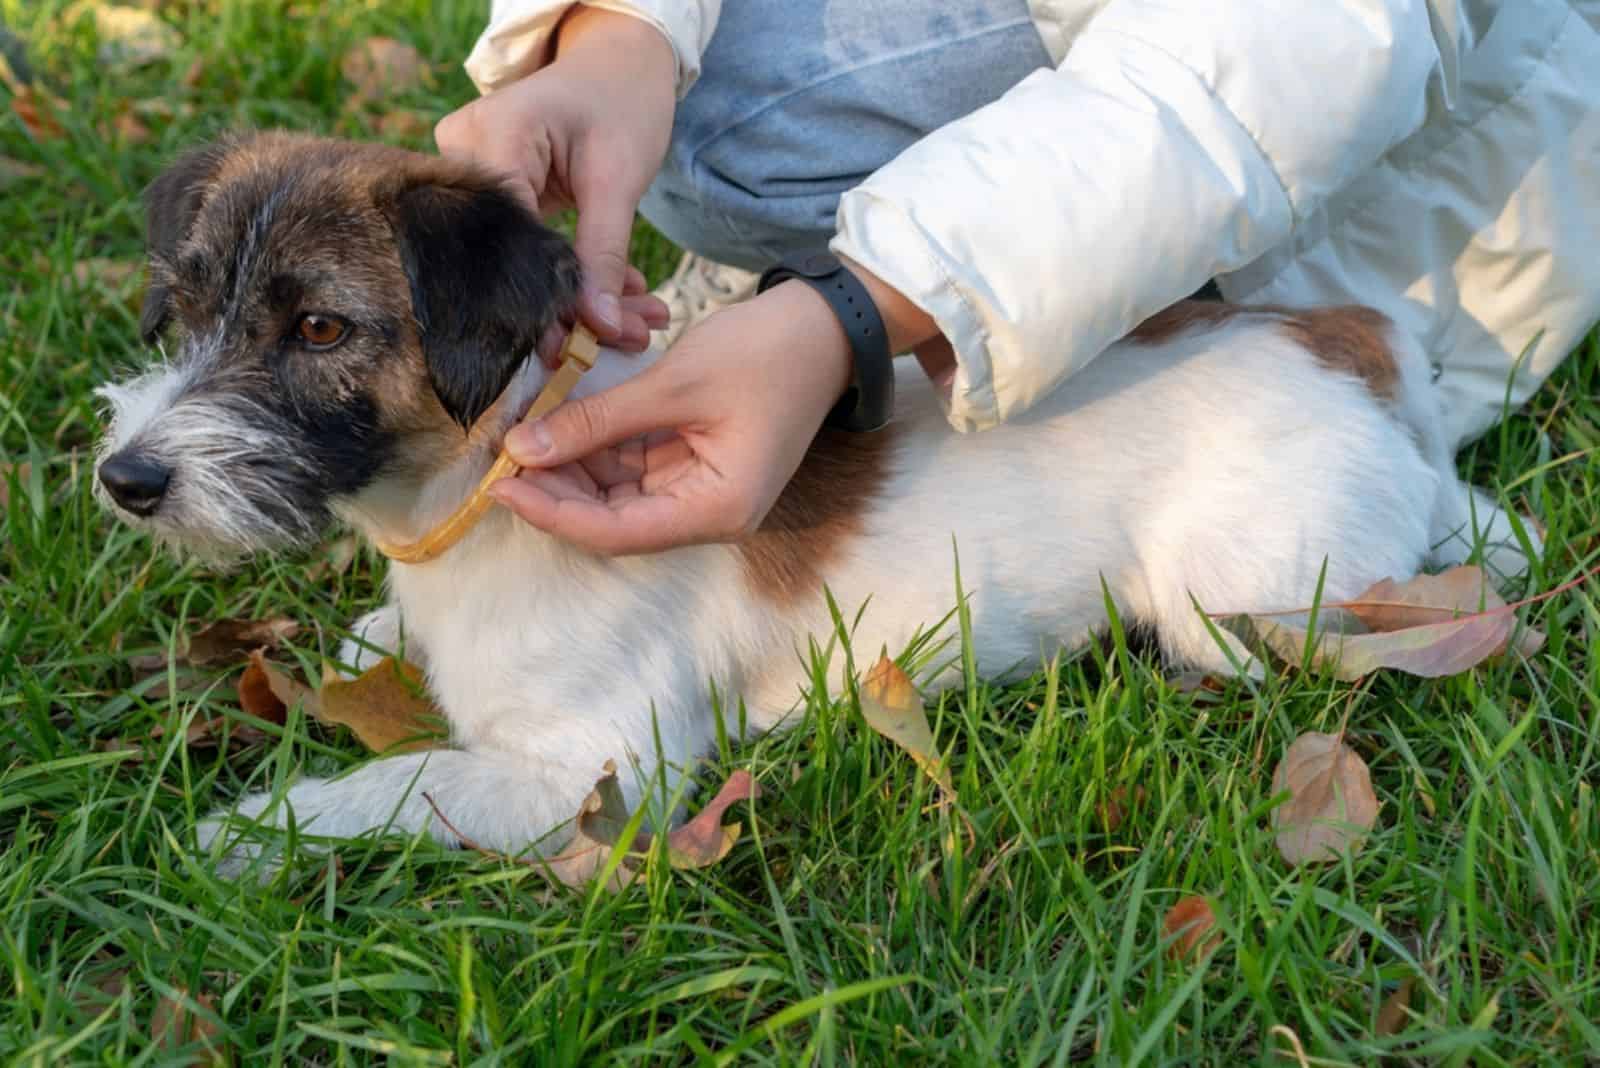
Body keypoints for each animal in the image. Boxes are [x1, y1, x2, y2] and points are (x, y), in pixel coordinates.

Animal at [93, 131, 1529, 869]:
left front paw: (252, 835)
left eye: (321, 327)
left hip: (1240, 597)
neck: (472, 488)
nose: (125, 480)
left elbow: (397, 786)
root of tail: (1350, 339)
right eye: (190, 301)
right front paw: (361, 651)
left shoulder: (594, 773)